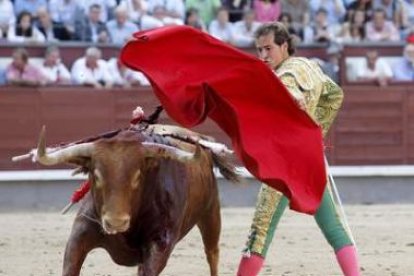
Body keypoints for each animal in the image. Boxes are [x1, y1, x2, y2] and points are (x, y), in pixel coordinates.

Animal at [24, 125, 239, 276]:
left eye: (137, 177)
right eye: (96, 176)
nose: (116, 222)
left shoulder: (160, 243)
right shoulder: (80, 234)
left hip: (211, 213)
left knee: (212, 253)